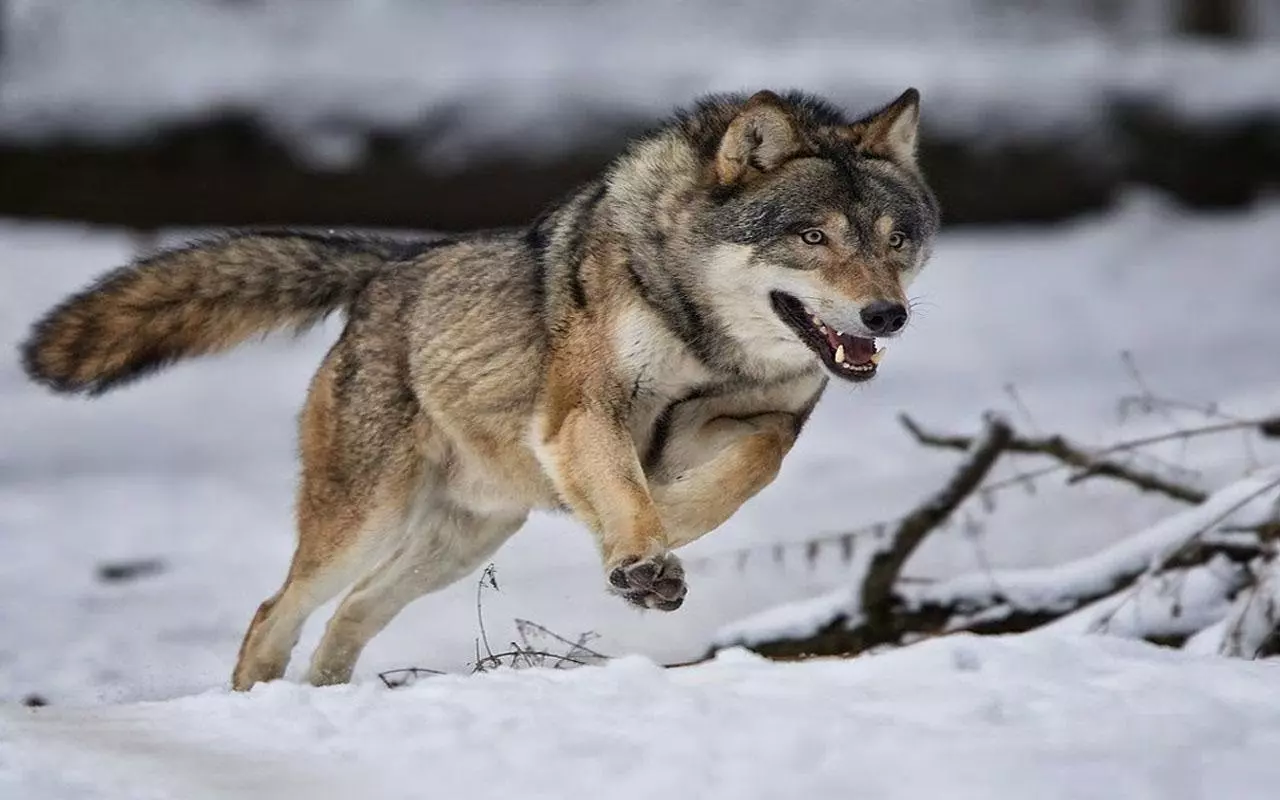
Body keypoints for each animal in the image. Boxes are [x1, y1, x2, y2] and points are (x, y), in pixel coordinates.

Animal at [20, 87, 942, 686]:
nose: (886, 316)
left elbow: (745, 473)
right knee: (272, 614)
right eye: (814, 237)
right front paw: (638, 552)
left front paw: (652, 540)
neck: (705, 338)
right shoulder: (582, 415)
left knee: (349, 615)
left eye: (896, 239)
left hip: (458, 543)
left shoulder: (762, 420)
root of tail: (388, 265)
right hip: (364, 523)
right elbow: (629, 489)